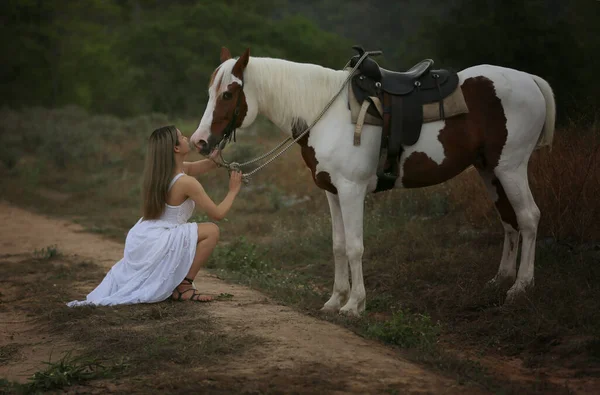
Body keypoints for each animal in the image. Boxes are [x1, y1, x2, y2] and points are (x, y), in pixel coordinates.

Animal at [190, 48, 556, 318]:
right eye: (209, 91)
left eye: (228, 93)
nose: (199, 142)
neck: (326, 112)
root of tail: (531, 81)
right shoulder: (332, 192)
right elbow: (338, 245)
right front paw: (335, 300)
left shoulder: (351, 191)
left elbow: (355, 246)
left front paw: (354, 305)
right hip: (488, 169)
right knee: (508, 221)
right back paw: (500, 280)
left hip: (511, 167)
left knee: (529, 218)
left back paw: (520, 287)